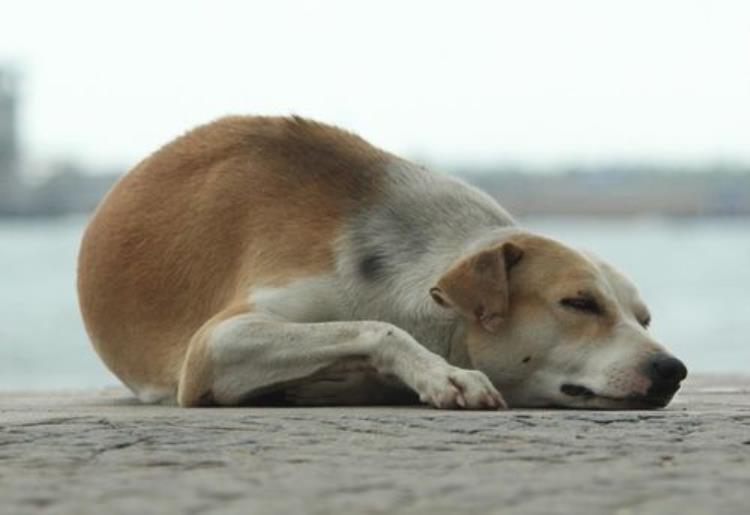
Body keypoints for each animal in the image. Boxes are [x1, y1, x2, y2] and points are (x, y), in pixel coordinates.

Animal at [79, 117, 692, 412]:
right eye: (579, 303)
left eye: (644, 319)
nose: (673, 369)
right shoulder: (212, 347)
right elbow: (377, 328)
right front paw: (443, 375)